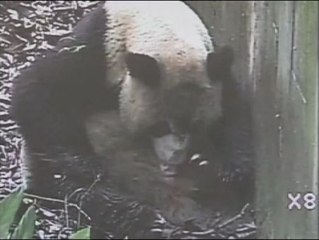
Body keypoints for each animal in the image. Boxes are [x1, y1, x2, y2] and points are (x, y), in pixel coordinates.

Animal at [9, 0, 250, 239]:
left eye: (196, 127)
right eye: (160, 127)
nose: (175, 157)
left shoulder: (215, 67)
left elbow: (235, 114)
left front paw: (228, 170)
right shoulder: (97, 51)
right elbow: (36, 91)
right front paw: (85, 163)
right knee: (95, 197)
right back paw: (152, 221)